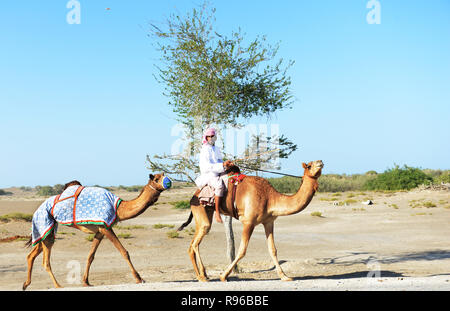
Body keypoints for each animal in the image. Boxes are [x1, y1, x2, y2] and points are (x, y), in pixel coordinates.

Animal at [21, 173, 169, 290]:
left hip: (47, 230)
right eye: (156, 178)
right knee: (45, 261)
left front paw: (86, 282)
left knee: (31, 255)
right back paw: (58, 285)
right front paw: (139, 279)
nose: (168, 181)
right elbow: (124, 252)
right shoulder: (106, 227)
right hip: (45, 223)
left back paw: (25, 284)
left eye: (163, 174)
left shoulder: (100, 230)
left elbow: (90, 255)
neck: (118, 208)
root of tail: (37, 210)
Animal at [179, 161, 324, 282]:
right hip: (201, 210)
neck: (270, 198)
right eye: (309, 165)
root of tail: (193, 196)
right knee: (195, 243)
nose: (320, 162)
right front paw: (223, 276)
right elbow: (242, 250)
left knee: (194, 244)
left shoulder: (269, 222)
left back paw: (203, 275)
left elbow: (273, 249)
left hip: (205, 214)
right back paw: (202, 276)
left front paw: (285, 276)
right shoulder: (249, 222)